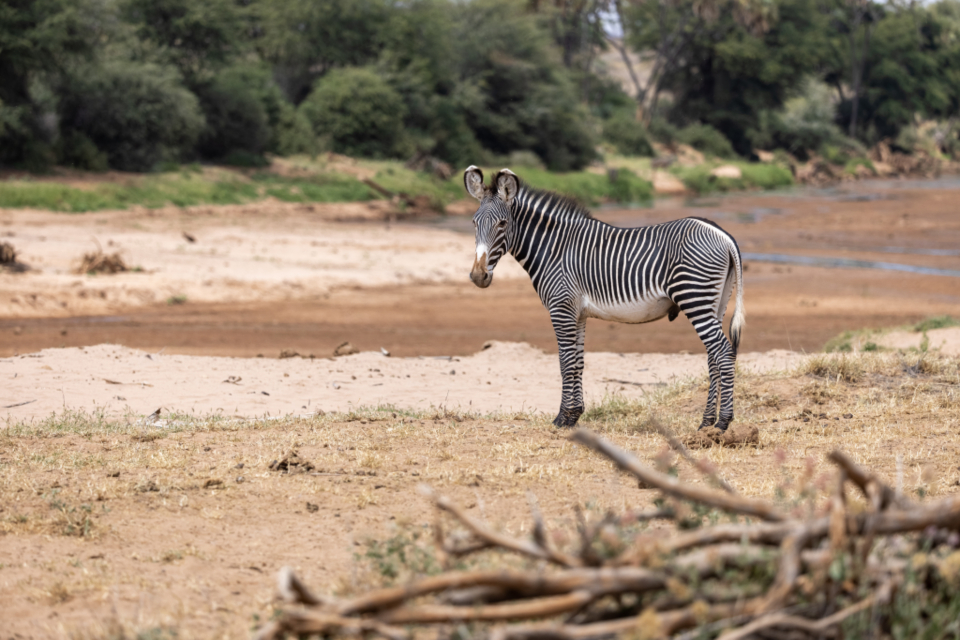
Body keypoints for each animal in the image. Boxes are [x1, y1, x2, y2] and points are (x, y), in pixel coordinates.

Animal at [464, 166, 745, 430]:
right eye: (474, 223)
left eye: (502, 224)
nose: (478, 276)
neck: (555, 249)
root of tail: (723, 235)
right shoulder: (577, 313)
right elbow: (578, 362)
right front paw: (573, 415)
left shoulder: (561, 308)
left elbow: (565, 361)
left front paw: (561, 418)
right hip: (715, 302)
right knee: (713, 355)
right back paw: (706, 422)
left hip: (695, 297)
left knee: (723, 351)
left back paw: (723, 422)